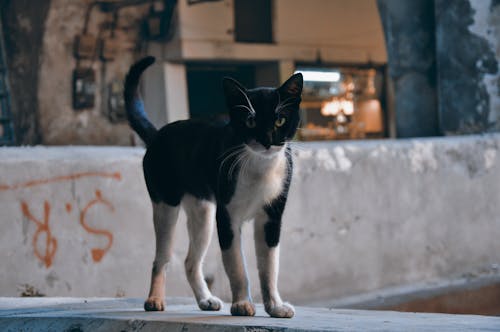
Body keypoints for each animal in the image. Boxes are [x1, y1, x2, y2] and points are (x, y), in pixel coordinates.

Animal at [123, 57, 302, 320]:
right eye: (250, 121)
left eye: (280, 120)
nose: (267, 140)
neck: (259, 166)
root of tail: (157, 135)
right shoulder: (227, 218)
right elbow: (237, 266)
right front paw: (241, 304)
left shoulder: (271, 218)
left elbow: (269, 267)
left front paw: (275, 306)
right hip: (166, 207)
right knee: (161, 259)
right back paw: (154, 299)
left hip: (202, 214)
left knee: (190, 262)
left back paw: (205, 300)